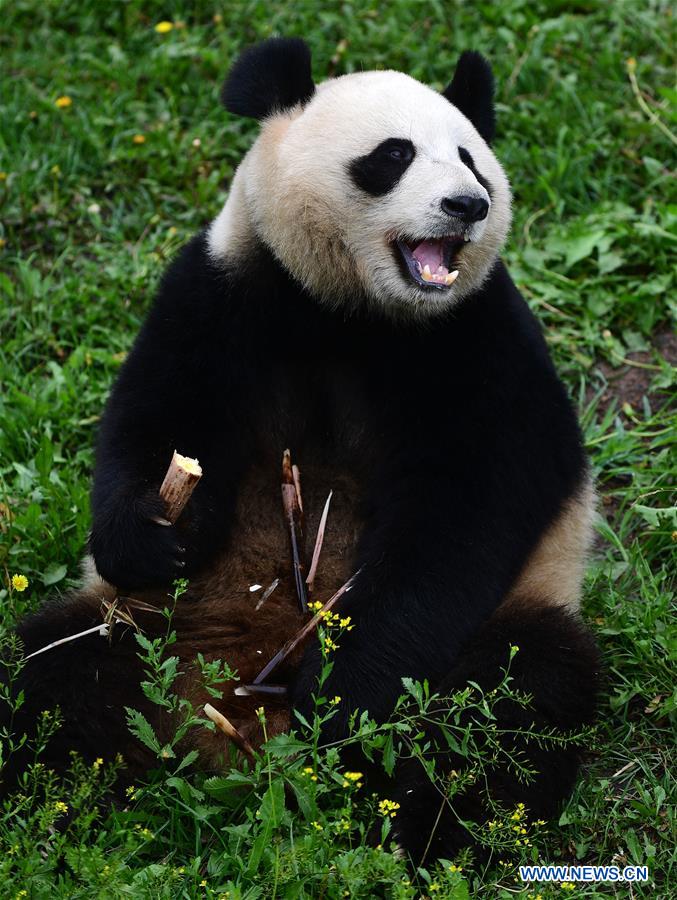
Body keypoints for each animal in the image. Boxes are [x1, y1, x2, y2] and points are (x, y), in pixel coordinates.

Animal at [5, 38, 600, 865]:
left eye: (471, 162)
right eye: (392, 155)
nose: (467, 206)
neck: (353, 309)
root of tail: (242, 731)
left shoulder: (478, 337)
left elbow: (470, 508)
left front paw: (346, 688)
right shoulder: (228, 288)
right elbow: (157, 420)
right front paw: (149, 533)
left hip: (506, 622)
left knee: (512, 703)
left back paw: (429, 828)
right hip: (145, 626)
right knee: (53, 675)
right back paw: (60, 800)